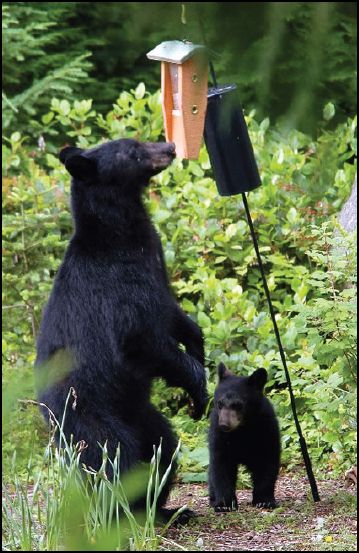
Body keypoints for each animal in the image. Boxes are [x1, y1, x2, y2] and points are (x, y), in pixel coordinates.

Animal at [34, 139, 208, 520]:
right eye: (133, 151)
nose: (170, 147)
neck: (119, 234)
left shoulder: (155, 270)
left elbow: (173, 315)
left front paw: (198, 347)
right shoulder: (119, 289)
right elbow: (142, 339)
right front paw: (199, 386)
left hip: (141, 413)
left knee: (162, 448)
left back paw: (164, 511)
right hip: (86, 415)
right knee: (114, 460)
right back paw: (120, 517)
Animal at [208, 362, 282, 508]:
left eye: (238, 405)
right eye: (219, 403)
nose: (224, 425)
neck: (241, 430)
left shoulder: (266, 429)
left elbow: (267, 462)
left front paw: (264, 500)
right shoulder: (218, 435)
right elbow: (221, 466)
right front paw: (224, 503)